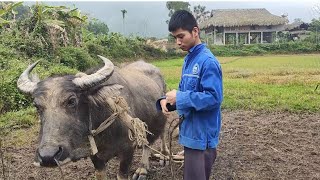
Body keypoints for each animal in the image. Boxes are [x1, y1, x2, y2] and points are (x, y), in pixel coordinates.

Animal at [16, 55, 169, 179]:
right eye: (37, 105)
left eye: (71, 101)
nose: (48, 156)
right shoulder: (95, 156)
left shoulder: (127, 150)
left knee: (157, 137)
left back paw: (156, 160)